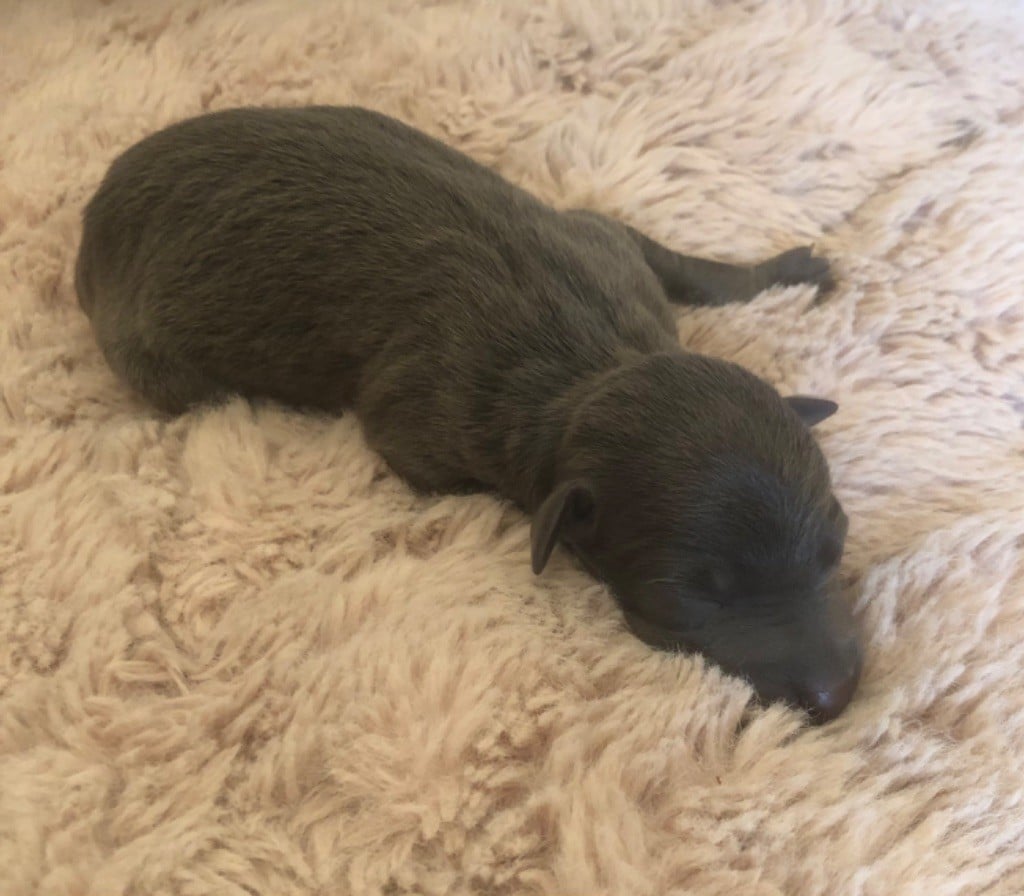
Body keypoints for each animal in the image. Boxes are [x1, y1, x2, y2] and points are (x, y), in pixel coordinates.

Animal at [75, 105, 862, 723]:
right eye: (689, 597)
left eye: (836, 546)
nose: (837, 697)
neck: (595, 363)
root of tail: (94, 214)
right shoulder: (426, 425)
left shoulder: (606, 247)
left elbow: (679, 261)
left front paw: (787, 268)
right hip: (157, 362)